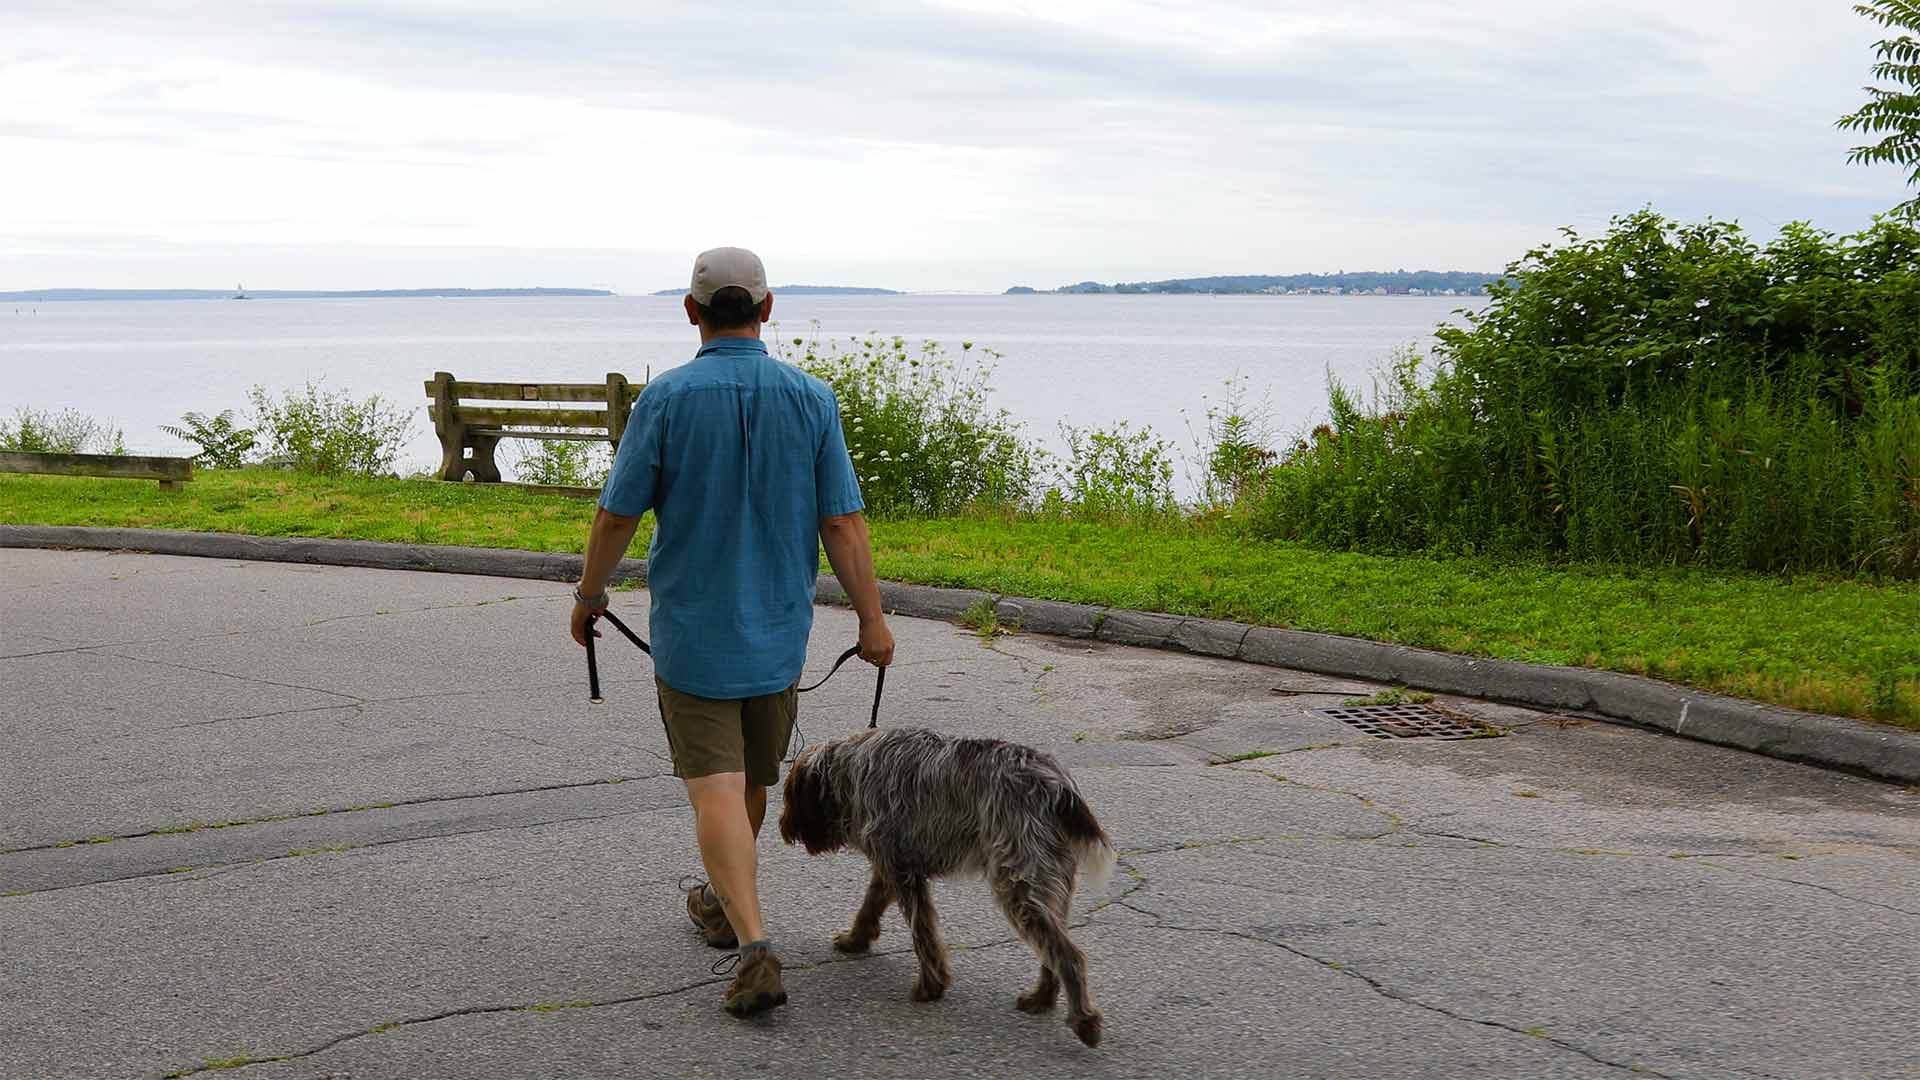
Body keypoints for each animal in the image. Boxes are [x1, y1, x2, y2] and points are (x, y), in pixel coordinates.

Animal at [775, 722, 1121, 1045]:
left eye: (790, 794)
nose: (782, 828)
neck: (852, 769)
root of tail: (1060, 788)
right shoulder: (891, 865)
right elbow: (870, 905)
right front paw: (855, 939)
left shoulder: (903, 872)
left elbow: (922, 933)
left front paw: (931, 985)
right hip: (1049, 884)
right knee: (1052, 947)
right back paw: (1042, 998)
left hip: (1020, 886)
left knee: (1067, 954)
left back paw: (1084, 1020)